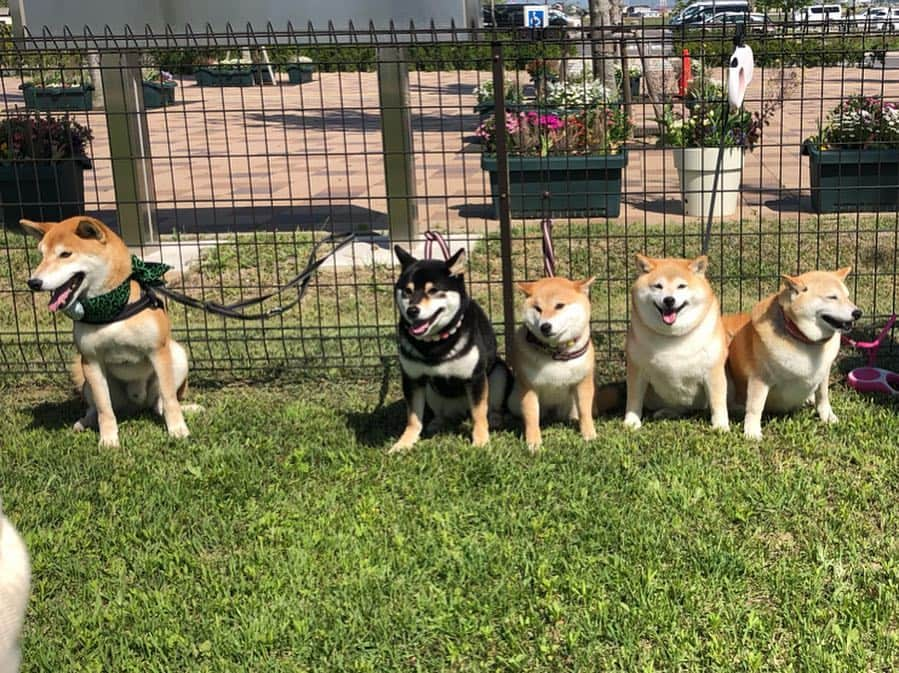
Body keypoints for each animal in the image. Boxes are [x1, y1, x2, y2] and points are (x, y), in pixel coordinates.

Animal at [21, 217, 197, 446]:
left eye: (65, 254)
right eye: (41, 255)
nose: (33, 282)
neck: (111, 309)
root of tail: (136, 407)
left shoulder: (158, 351)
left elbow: (169, 399)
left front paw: (177, 429)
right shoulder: (91, 361)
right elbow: (105, 409)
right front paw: (108, 440)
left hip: (177, 355)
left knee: (159, 404)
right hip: (89, 382)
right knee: (97, 408)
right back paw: (85, 422)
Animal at [392, 245, 510, 452]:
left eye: (433, 290)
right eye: (407, 290)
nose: (412, 310)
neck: (435, 343)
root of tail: (462, 410)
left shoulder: (475, 377)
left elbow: (479, 413)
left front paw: (481, 441)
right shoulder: (412, 378)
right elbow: (413, 417)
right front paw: (404, 443)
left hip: (499, 372)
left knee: (489, 407)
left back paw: (495, 419)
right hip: (431, 391)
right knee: (442, 414)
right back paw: (437, 422)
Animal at [624, 252, 732, 430]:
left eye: (681, 286)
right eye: (658, 286)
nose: (669, 300)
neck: (673, 336)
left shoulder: (712, 370)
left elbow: (717, 402)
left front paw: (721, 426)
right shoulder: (637, 368)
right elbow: (633, 398)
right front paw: (631, 421)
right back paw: (666, 412)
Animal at [720, 268, 860, 440]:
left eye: (847, 296)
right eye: (832, 297)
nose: (858, 312)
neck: (806, 341)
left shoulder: (824, 372)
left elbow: (823, 396)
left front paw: (827, 416)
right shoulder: (759, 377)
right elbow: (755, 406)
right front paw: (752, 432)